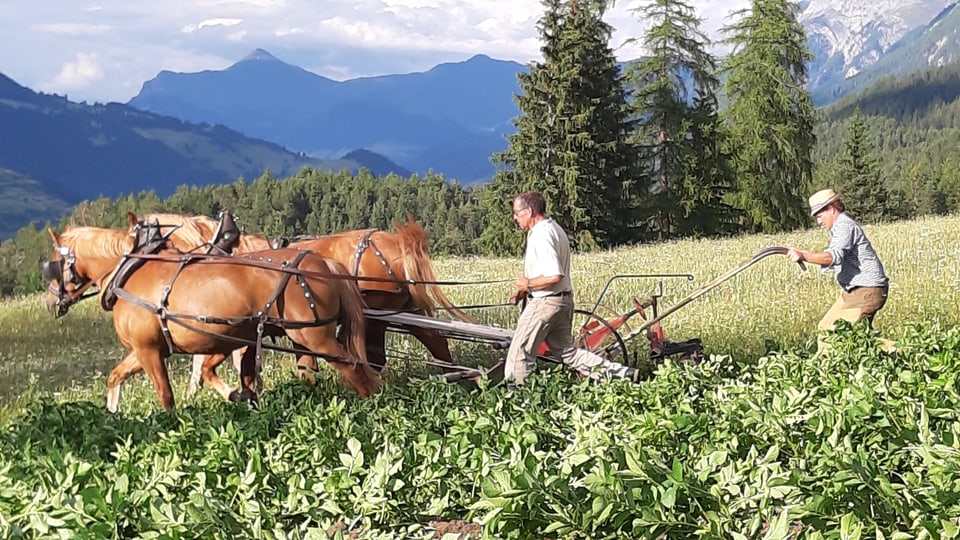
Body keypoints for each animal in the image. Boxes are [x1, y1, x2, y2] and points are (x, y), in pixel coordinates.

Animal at [41, 213, 380, 412]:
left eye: (51, 265)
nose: (50, 303)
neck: (132, 269)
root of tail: (324, 263)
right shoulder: (146, 350)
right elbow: (115, 378)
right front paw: (114, 417)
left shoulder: (149, 350)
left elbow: (166, 396)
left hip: (316, 336)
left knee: (356, 370)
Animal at [144, 213, 474, 398]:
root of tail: (396, 242)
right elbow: (303, 368)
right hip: (403, 310)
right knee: (436, 341)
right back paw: (460, 379)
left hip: (380, 314)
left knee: (376, 358)